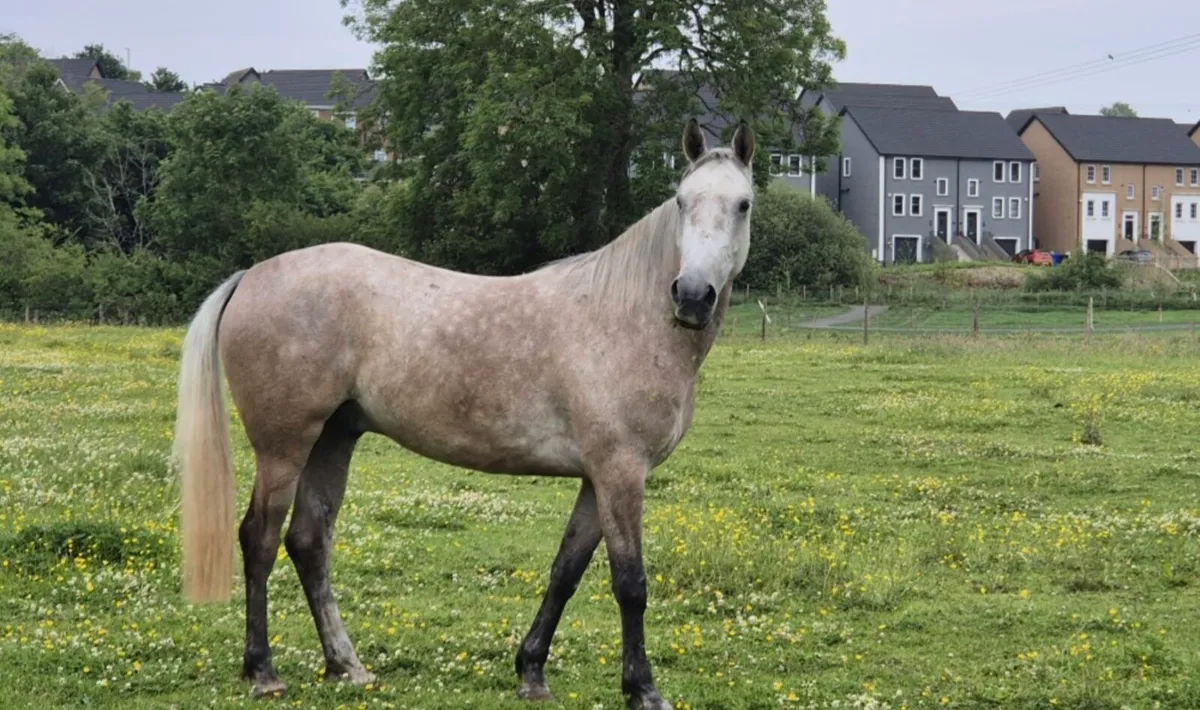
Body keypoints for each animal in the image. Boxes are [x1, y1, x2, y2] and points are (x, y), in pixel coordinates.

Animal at [173, 118, 757, 710]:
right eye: (682, 200)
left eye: (743, 204)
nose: (692, 296)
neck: (625, 317)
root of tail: (250, 276)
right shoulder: (621, 473)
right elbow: (630, 584)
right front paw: (643, 689)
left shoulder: (598, 478)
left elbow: (566, 571)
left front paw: (531, 671)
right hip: (283, 448)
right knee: (260, 540)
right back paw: (263, 670)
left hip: (332, 439)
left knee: (309, 543)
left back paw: (347, 666)